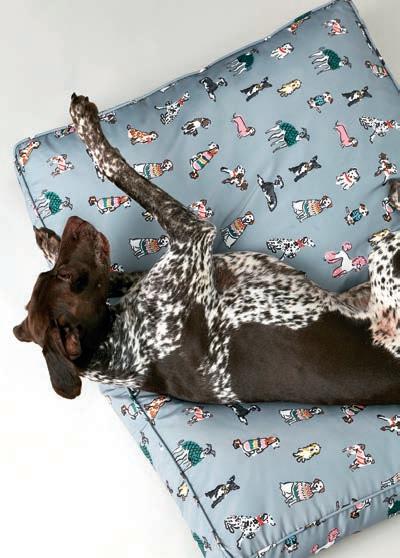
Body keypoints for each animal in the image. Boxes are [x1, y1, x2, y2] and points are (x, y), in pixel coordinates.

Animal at [13, 94, 400, 405]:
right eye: (66, 276)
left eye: (56, 275)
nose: (73, 223)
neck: (114, 345)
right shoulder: (192, 235)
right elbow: (119, 172)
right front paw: (85, 125)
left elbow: (112, 275)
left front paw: (50, 241)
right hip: (383, 251)